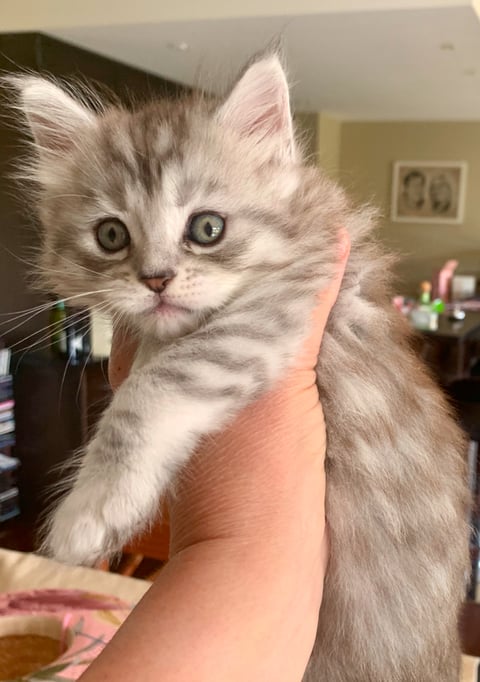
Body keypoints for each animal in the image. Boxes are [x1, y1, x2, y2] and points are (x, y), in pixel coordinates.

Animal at [9, 54, 470, 680]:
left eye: (207, 228)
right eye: (111, 235)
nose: (155, 280)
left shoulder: (284, 304)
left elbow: (150, 391)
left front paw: (91, 511)